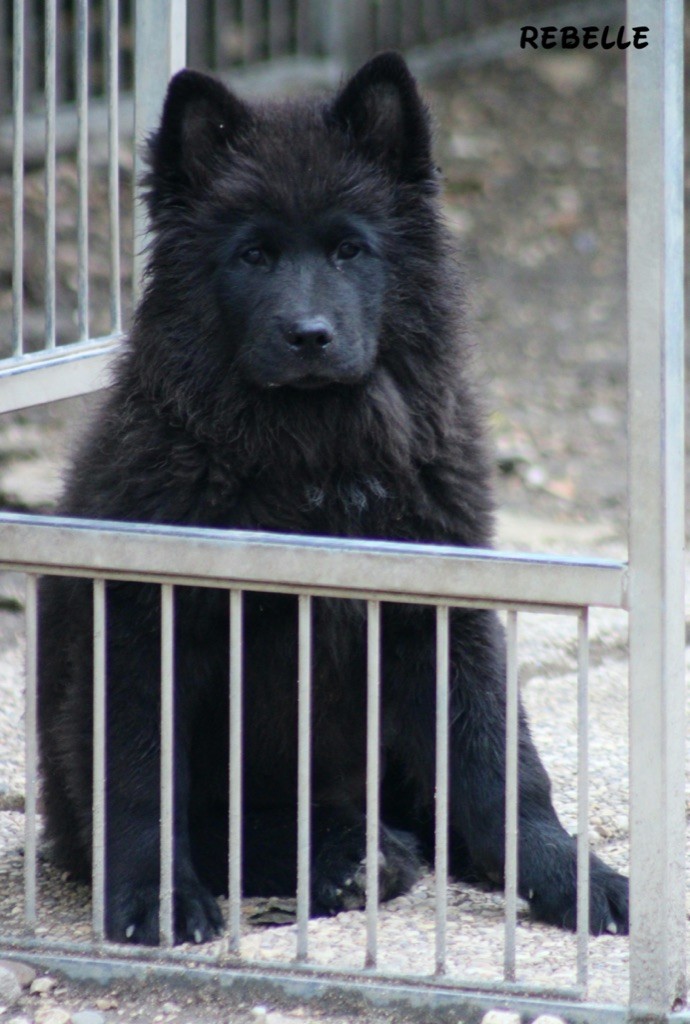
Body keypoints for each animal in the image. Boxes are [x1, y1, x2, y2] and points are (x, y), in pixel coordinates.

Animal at [38, 51, 630, 937]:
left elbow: (498, 761)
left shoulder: (446, 611)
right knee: (224, 822)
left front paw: (567, 873)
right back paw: (349, 854)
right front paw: (156, 900)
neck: (315, 459)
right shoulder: (146, 623)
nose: (308, 335)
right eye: (253, 256)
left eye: (351, 250)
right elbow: (144, 776)